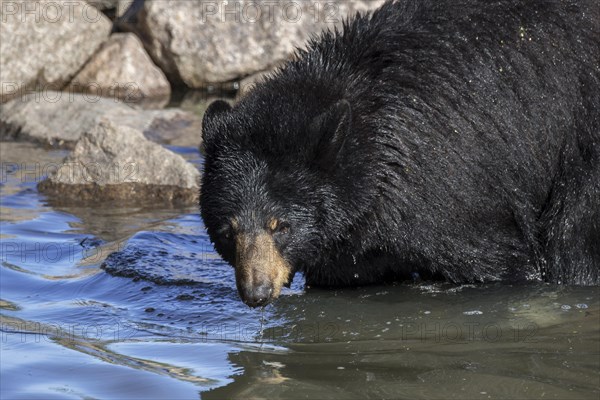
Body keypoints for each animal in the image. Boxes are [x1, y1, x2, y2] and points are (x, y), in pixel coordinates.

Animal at [202, 0, 600, 306]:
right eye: (227, 230)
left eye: (282, 225)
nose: (257, 293)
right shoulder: (351, 239)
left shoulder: (447, 190)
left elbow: (502, 259)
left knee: (572, 237)